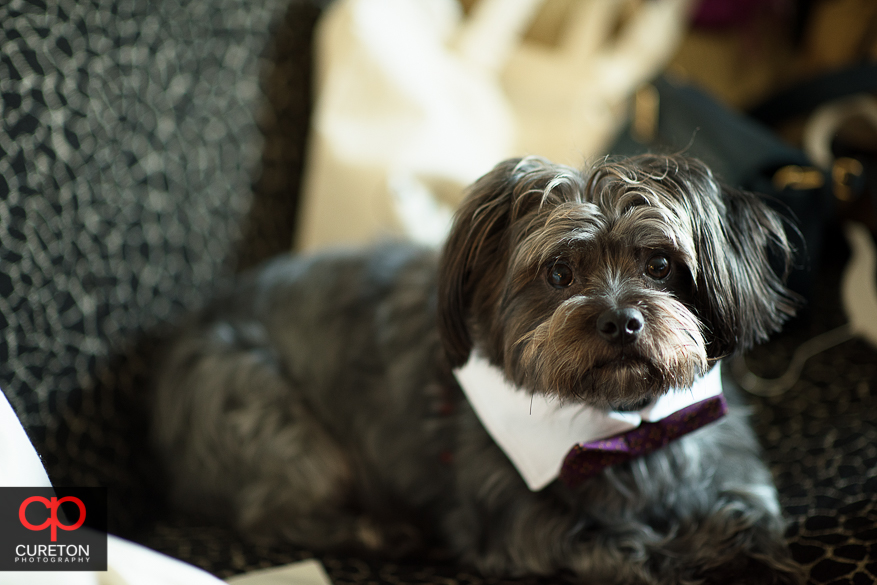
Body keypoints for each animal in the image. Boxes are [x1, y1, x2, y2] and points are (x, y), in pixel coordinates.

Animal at [149, 155, 800, 584]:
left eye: (661, 264)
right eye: (558, 273)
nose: (620, 321)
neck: (621, 434)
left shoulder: (737, 474)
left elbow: (751, 521)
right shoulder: (518, 529)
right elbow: (636, 550)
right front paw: (695, 553)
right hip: (273, 419)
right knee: (272, 513)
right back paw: (386, 533)